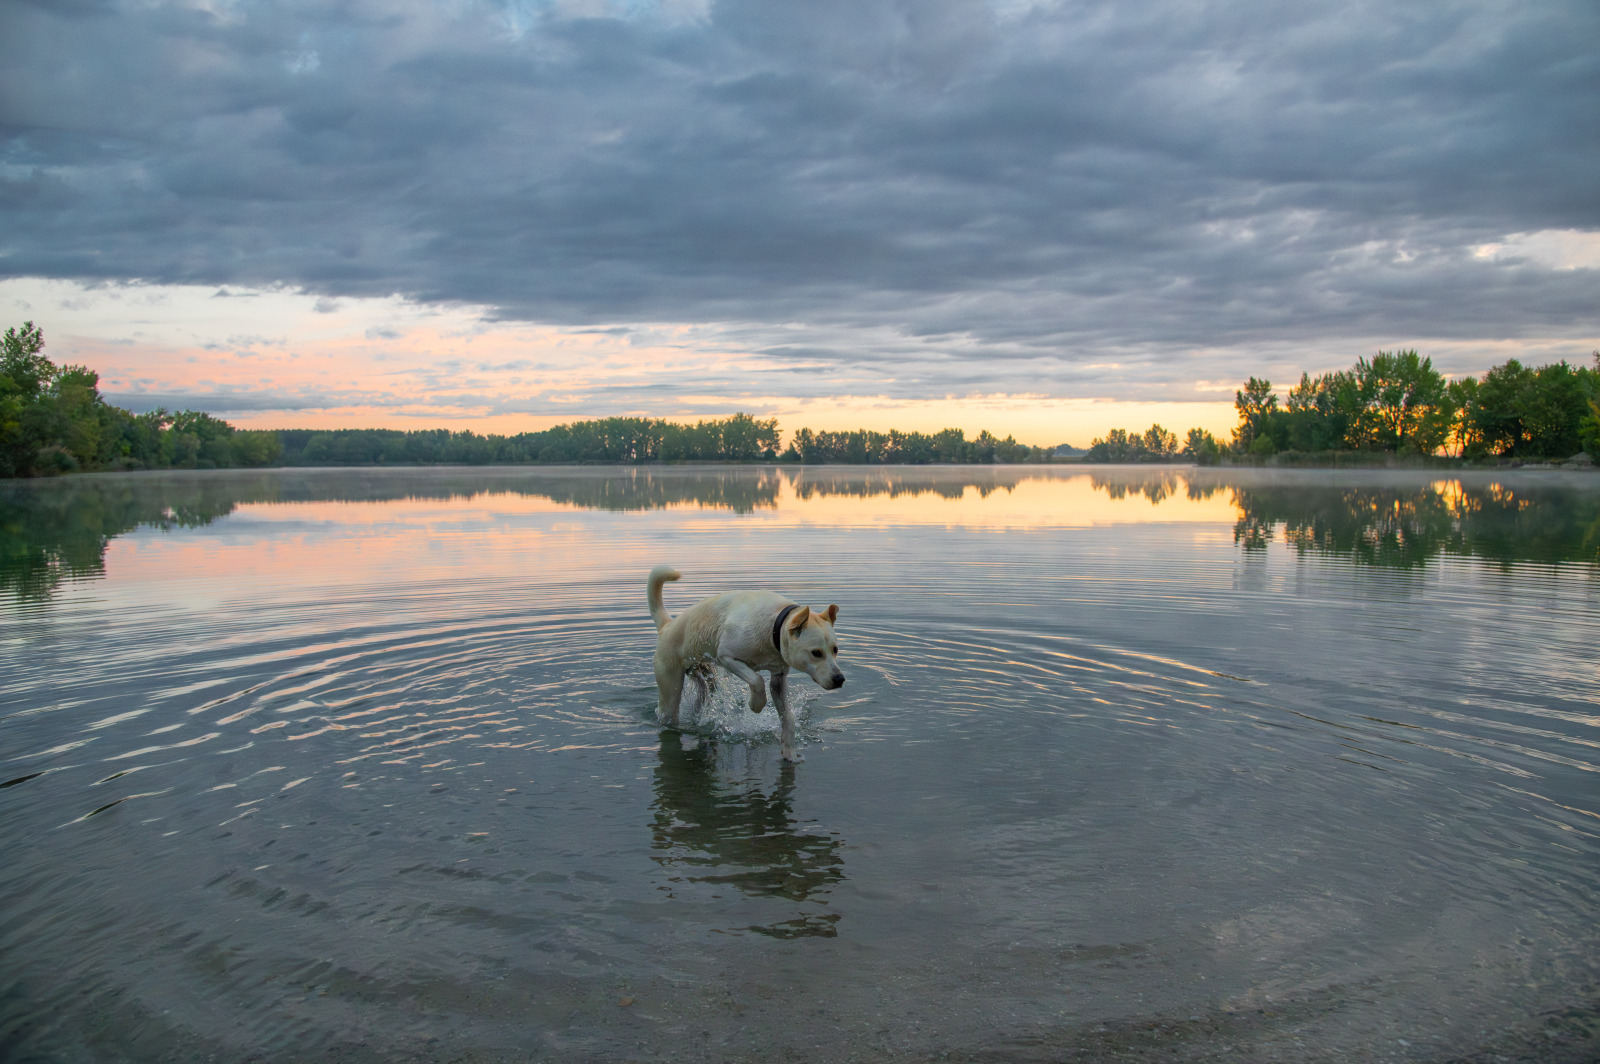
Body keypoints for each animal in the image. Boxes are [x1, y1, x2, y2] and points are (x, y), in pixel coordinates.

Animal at [649, 569, 851, 758]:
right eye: (816, 653)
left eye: (835, 650)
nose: (839, 679)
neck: (773, 627)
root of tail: (666, 625)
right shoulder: (727, 657)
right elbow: (756, 680)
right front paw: (756, 705)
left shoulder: (779, 678)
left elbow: (788, 717)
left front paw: (790, 751)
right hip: (670, 686)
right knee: (667, 709)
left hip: (705, 678)